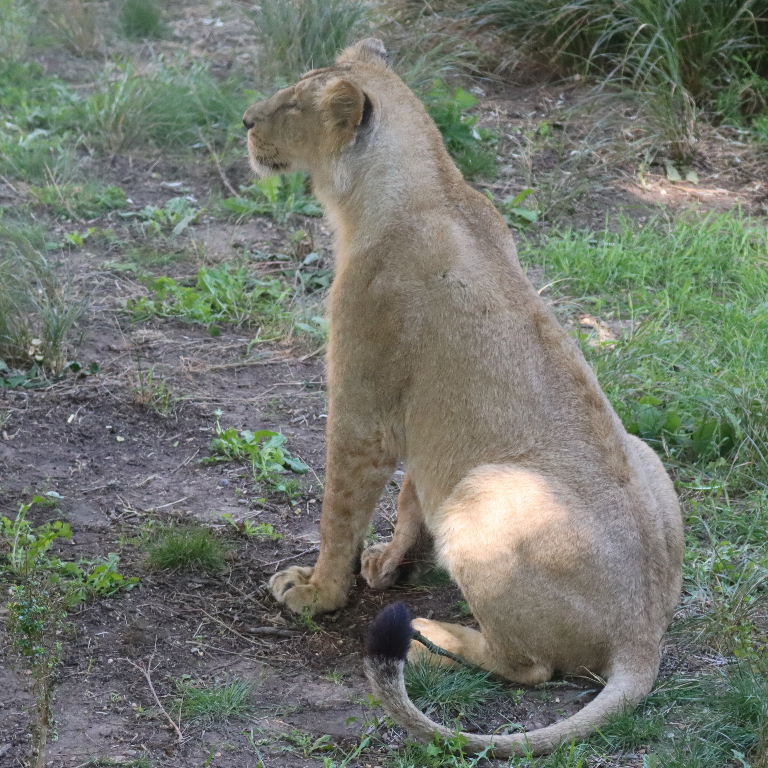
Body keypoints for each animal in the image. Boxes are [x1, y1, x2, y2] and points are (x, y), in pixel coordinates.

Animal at [242, 38, 683, 756]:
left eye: (292, 105)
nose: (247, 121)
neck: (423, 185)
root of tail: (643, 638)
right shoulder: (419, 431)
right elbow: (408, 498)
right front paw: (388, 564)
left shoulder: (362, 411)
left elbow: (341, 509)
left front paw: (317, 591)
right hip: (641, 450)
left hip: (485, 488)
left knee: (528, 666)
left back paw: (427, 639)